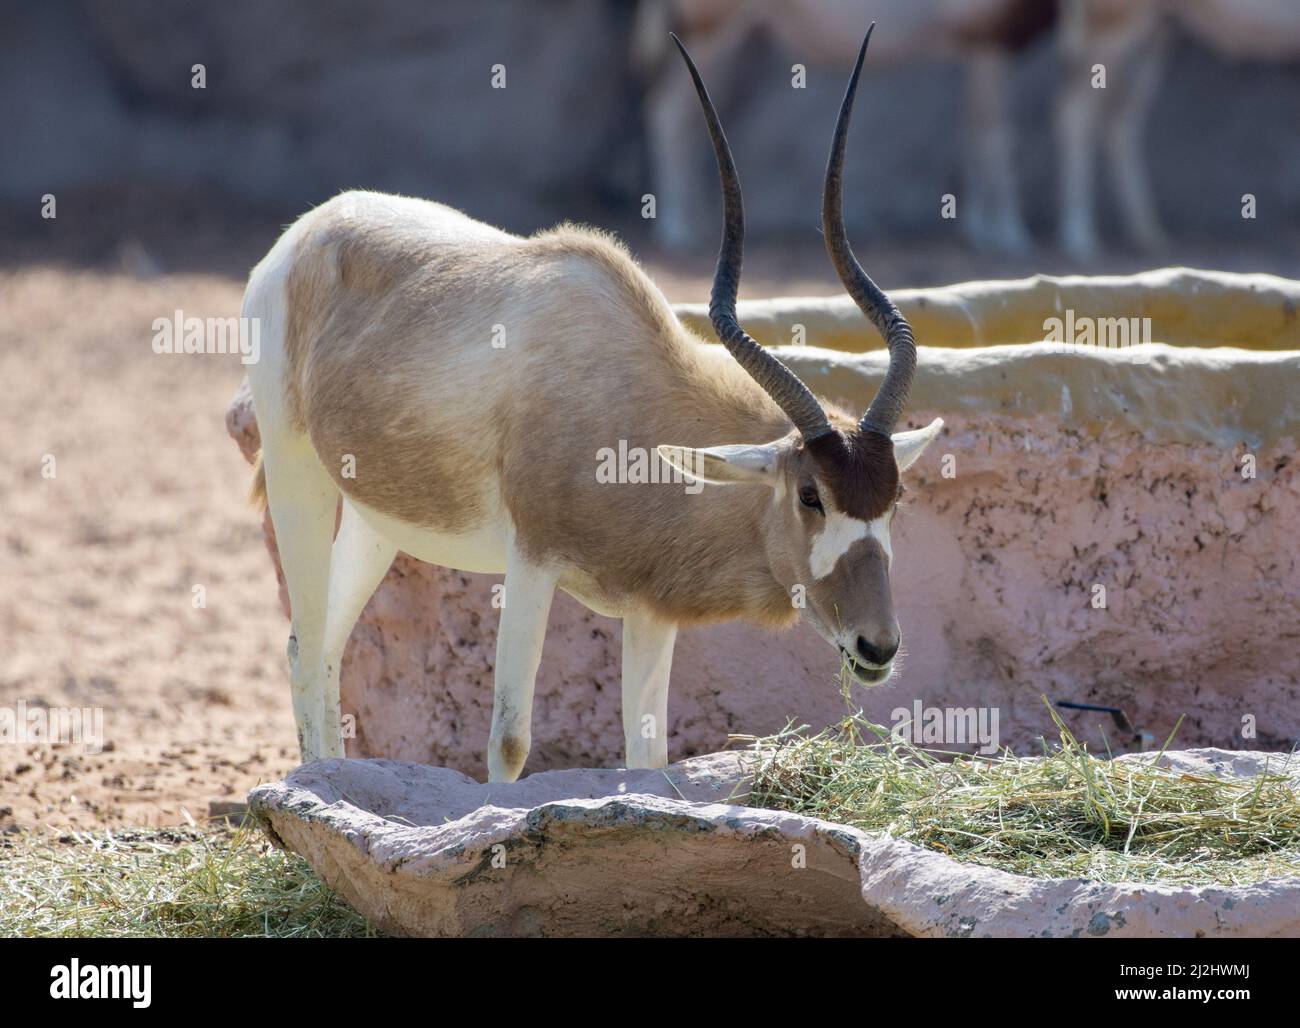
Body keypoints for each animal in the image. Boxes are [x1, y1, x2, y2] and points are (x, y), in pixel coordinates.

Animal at [241, 26, 935, 779]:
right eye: (811, 495)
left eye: (894, 497)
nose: (878, 647)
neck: (631, 396)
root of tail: (309, 230)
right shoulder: (531, 562)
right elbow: (510, 739)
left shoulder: (652, 611)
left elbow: (648, 758)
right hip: (296, 471)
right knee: (306, 642)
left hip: (377, 518)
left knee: (323, 644)